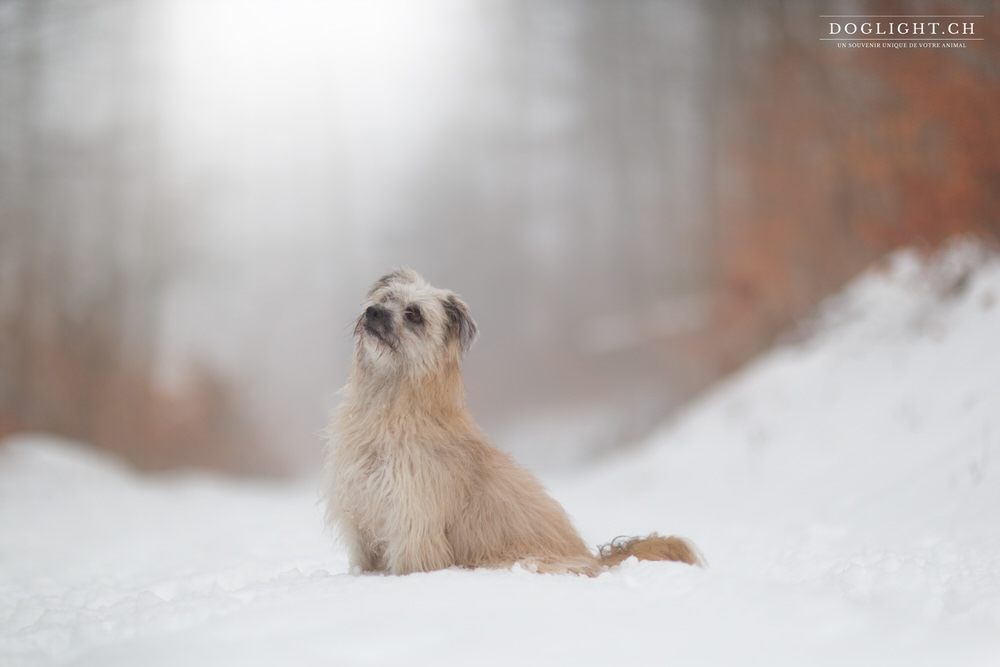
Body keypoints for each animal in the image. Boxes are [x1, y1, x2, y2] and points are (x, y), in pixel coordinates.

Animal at [324, 268, 700, 576]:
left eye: (414, 314)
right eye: (386, 297)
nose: (373, 312)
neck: (391, 407)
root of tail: (594, 561)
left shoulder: (413, 526)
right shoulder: (362, 521)